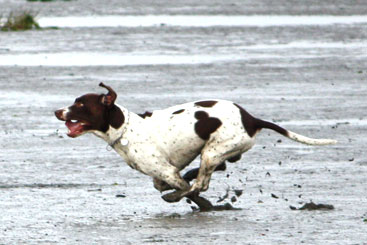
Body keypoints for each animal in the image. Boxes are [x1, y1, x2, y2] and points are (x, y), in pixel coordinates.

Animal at [53, 83, 338, 204]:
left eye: (80, 104)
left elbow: (187, 188)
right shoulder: (161, 173)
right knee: (213, 170)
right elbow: (164, 184)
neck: (126, 128)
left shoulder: (167, 171)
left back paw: (180, 194)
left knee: (201, 182)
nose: (57, 111)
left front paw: (189, 197)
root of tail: (251, 119)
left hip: (213, 150)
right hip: (216, 152)